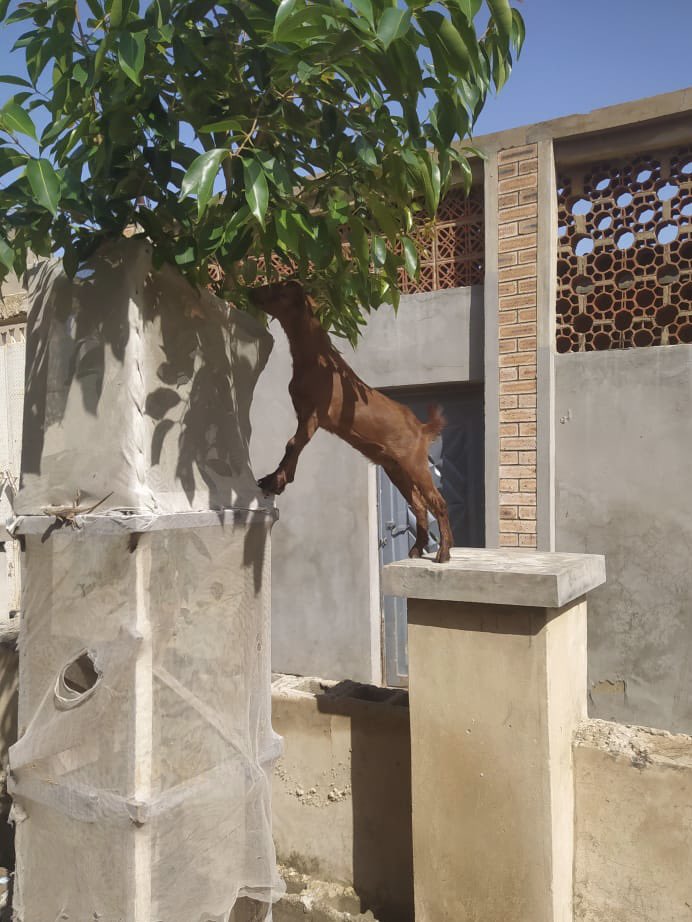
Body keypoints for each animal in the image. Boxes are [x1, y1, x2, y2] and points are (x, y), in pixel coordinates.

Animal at [249, 281, 453, 563]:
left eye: (278, 289)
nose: (250, 293)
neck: (317, 358)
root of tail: (422, 429)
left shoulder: (314, 414)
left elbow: (291, 444)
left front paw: (275, 480)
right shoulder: (304, 416)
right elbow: (294, 447)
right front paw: (279, 478)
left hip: (415, 464)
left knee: (438, 503)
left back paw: (443, 552)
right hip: (396, 469)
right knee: (420, 506)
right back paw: (416, 549)